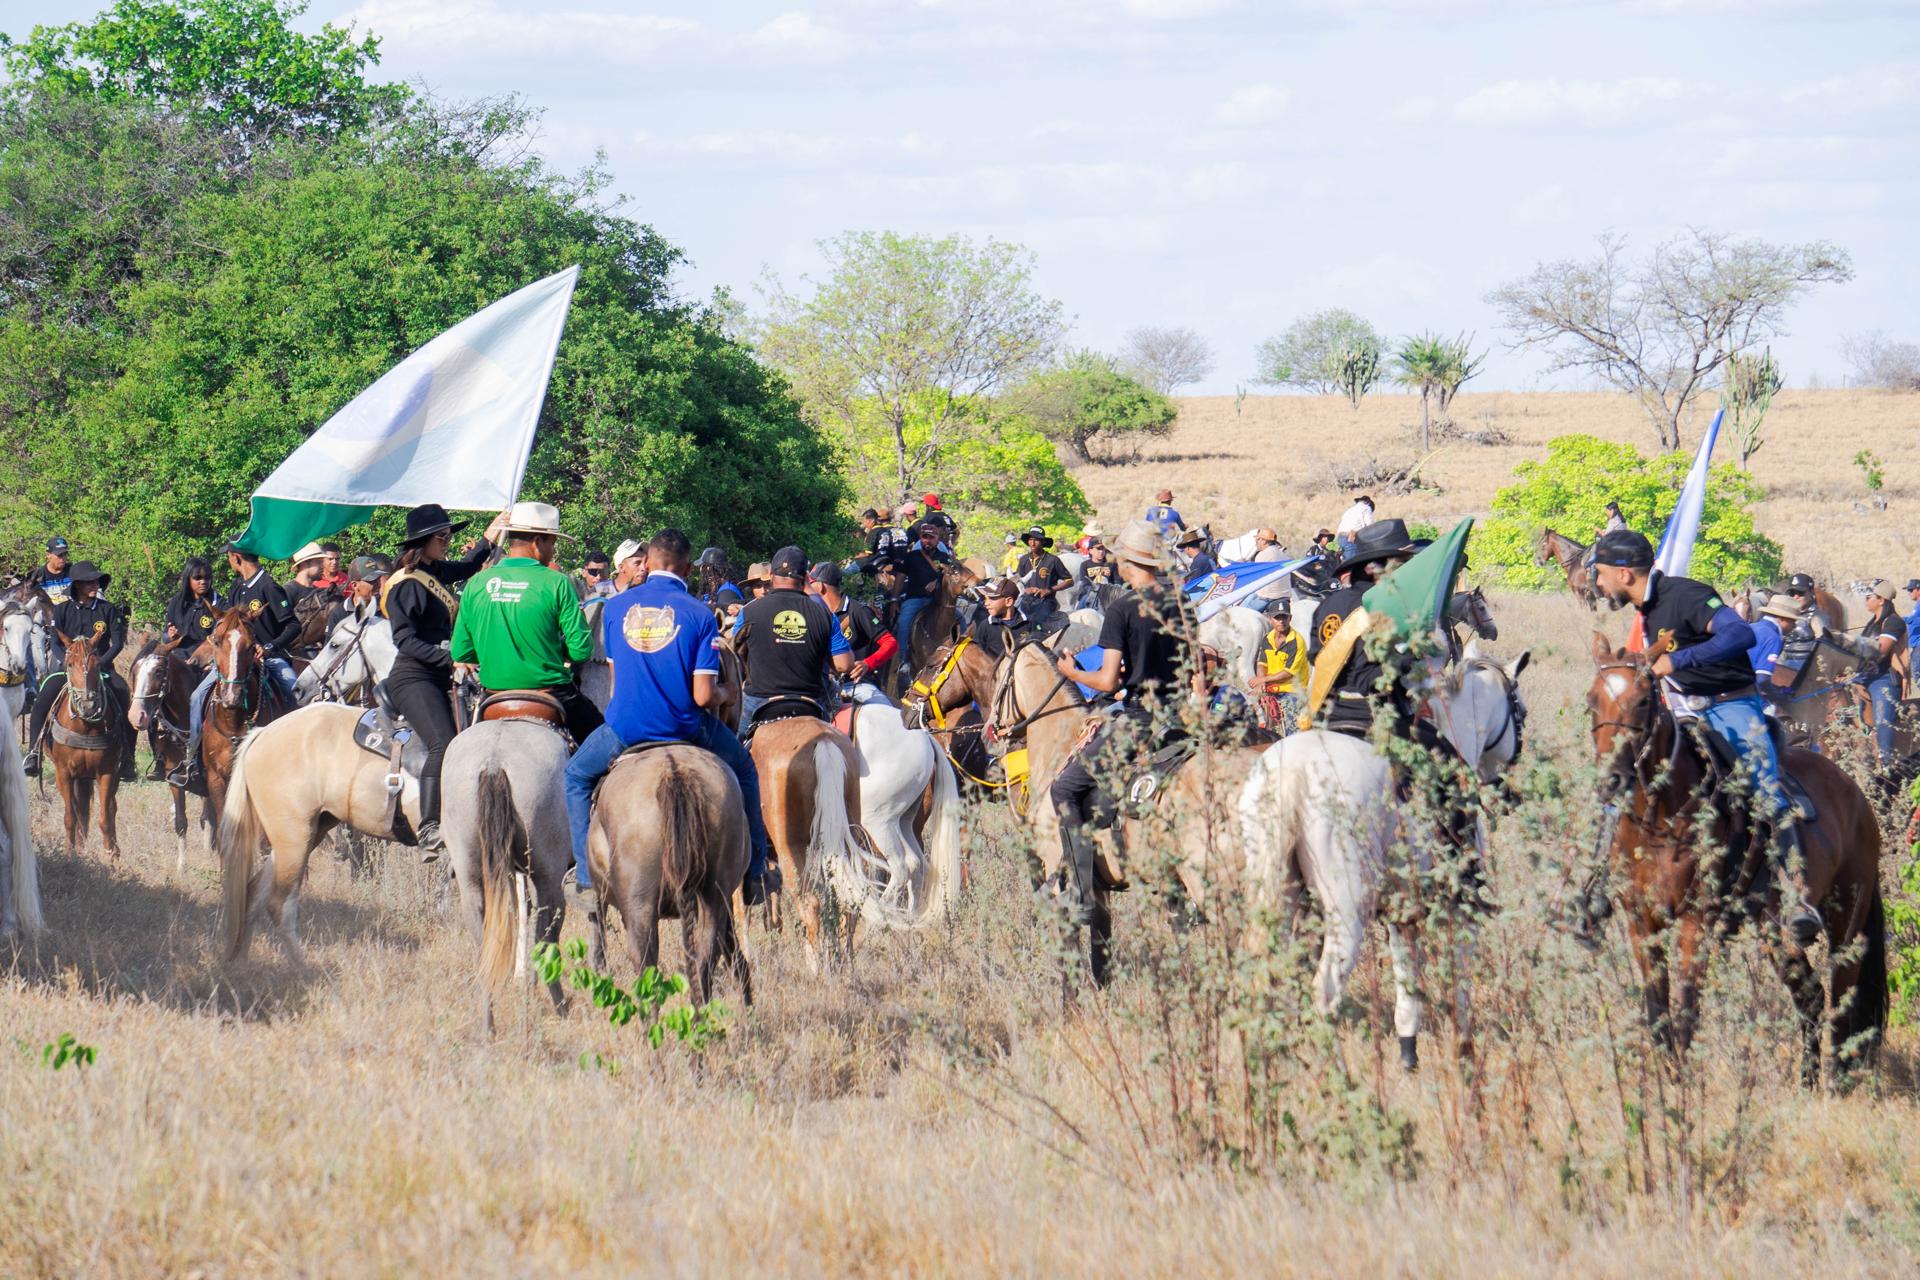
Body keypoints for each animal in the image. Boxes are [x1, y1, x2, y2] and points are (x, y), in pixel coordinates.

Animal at [127, 638, 211, 872]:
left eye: (158, 671)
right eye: (135, 670)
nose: (136, 716)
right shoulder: (175, 779)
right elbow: (181, 822)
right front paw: (181, 867)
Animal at [440, 718, 573, 1033]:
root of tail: (493, 761)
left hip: (471, 873)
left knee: (485, 943)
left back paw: (487, 1024)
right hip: (549, 874)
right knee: (546, 932)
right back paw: (556, 1005)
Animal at [1236, 644, 1530, 1070]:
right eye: (1520, 710)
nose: (1507, 789)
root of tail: (1294, 774)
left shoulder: (1402, 909)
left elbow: (1407, 977)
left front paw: (1408, 1050)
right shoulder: (1456, 909)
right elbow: (1458, 981)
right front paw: (1462, 1051)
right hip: (1347, 912)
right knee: (1325, 991)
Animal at [1586, 633, 1885, 1084]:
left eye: (1642, 701)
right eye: (1592, 701)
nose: (1611, 780)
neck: (1661, 819)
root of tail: (1856, 795)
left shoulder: (1695, 922)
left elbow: (1687, 1007)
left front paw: (1684, 1085)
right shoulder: (1642, 920)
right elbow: (1657, 1007)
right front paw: (1666, 1079)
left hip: (1845, 924)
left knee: (1841, 999)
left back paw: (1837, 1080)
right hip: (1774, 933)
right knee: (1810, 996)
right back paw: (1806, 1081)